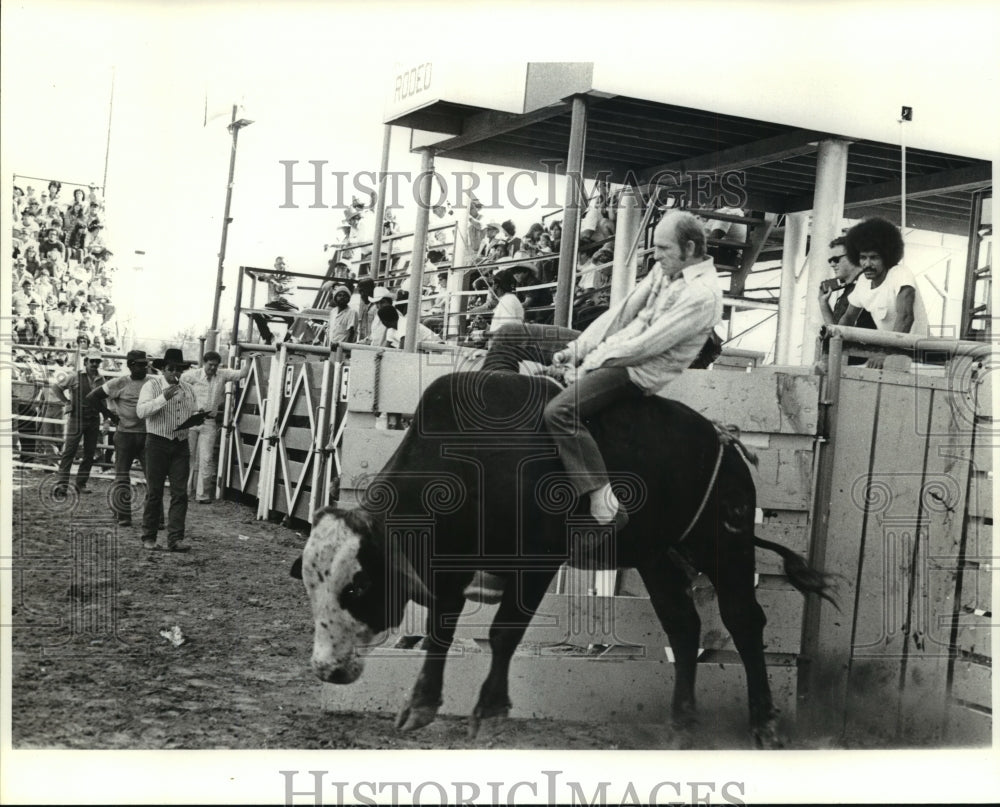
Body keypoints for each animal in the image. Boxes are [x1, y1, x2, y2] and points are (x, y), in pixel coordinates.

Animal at [292, 370, 836, 748]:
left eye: (357, 586)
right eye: (311, 587)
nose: (325, 671)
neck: (474, 461)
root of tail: (727, 442)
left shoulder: (536, 563)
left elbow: (503, 633)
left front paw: (489, 712)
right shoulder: (452, 562)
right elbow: (440, 629)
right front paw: (420, 705)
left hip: (724, 542)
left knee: (743, 620)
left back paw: (765, 724)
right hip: (656, 555)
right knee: (683, 626)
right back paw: (682, 723)